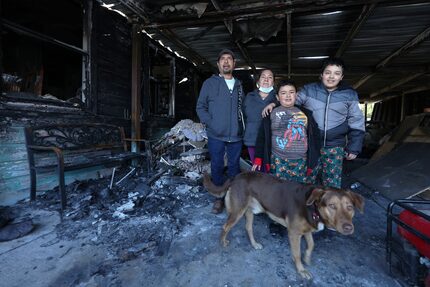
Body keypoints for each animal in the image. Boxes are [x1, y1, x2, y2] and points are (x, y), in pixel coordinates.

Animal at [203, 172, 364, 280]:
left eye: (350, 207)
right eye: (332, 206)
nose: (349, 228)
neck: (313, 208)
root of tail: (236, 177)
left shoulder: (306, 229)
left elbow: (311, 244)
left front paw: (307, 257)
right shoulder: (293, 233)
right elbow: (296, 254)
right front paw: (301, 270)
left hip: (249, 211)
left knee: (248, 228)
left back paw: (254, 244)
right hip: (237, 211)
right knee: (225, 226)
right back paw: (223, 242)